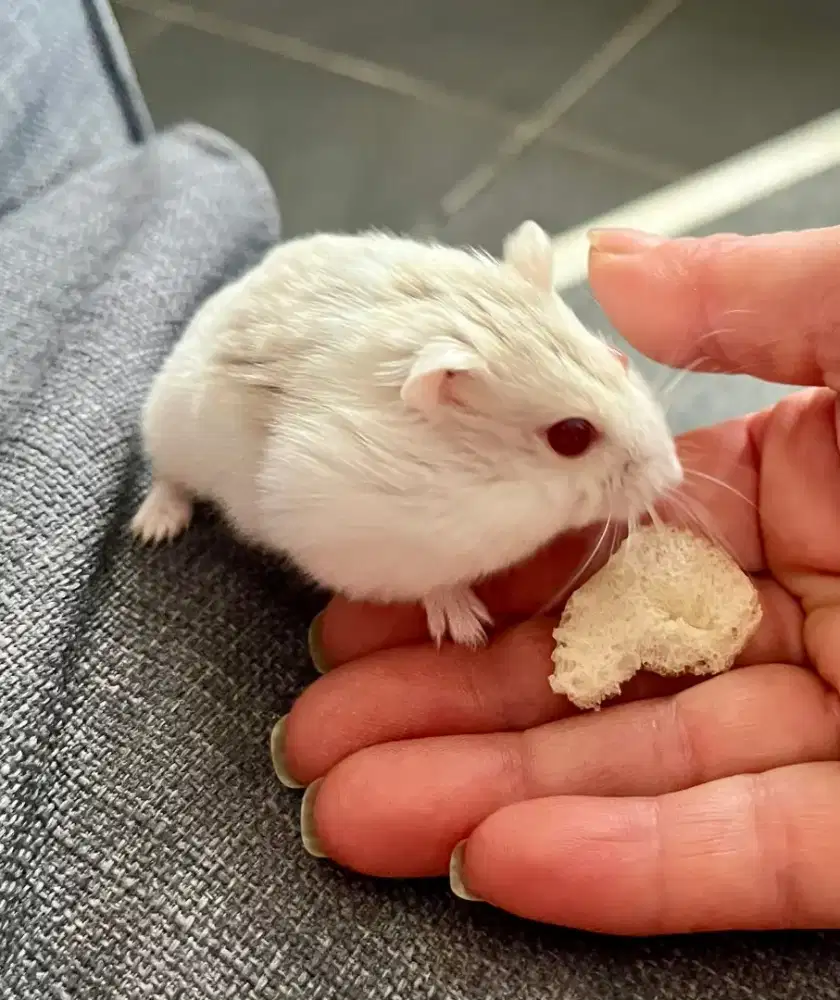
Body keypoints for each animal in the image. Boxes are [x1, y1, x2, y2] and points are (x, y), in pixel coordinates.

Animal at [131, 220, 683, 647]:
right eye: (571, 436)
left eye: (619, 358)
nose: (674, 478)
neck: (487, 479)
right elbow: (432, 586)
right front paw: (469, 629)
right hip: (169, 424)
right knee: (166, 478)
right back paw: (153, 529)